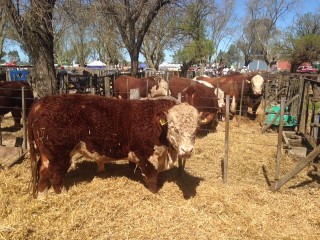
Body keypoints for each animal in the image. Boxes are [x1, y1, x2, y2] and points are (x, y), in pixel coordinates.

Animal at [27, 94, 199, 197]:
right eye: (174, 128)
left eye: (196, 128)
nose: (187, 150)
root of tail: (43, 101)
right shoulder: (145, 156)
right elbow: (152, 179)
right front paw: (155, 194)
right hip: (60, 155)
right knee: (55, 176)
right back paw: (61, 194)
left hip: (47, 155)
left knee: (43, 173)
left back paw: (43, 197)